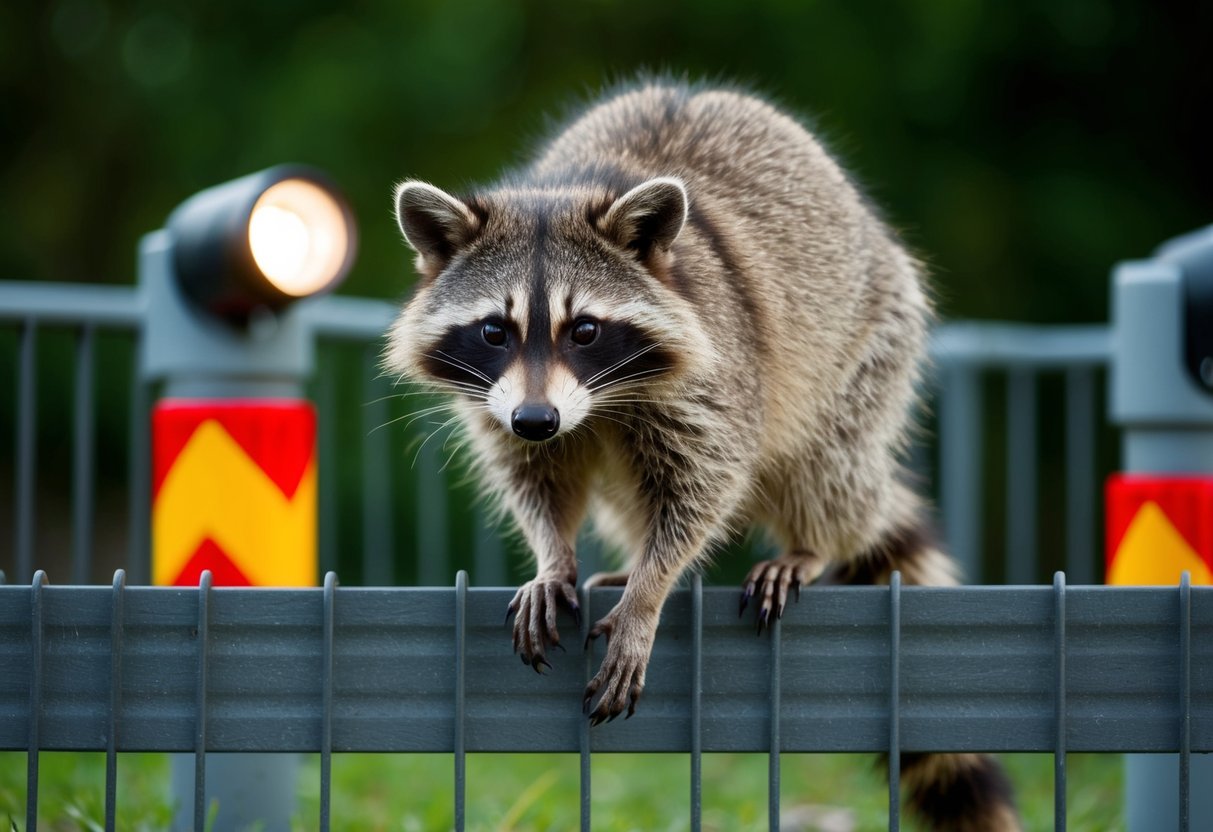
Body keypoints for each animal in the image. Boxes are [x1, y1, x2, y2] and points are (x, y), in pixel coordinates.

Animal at [385, 80, 1019, 831]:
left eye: (585, 330)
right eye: (493, 331)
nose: (536, 419)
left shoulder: (718, 366)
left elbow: (703, 488)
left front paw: (649, 593)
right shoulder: (501, 400)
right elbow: (535, 477)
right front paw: (554, 555)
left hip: (872, 342)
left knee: (826, 464)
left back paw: (810, 543)